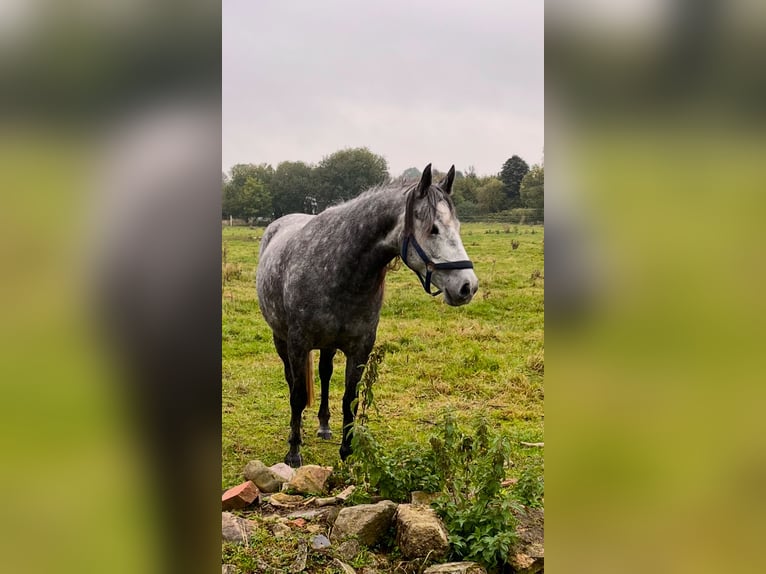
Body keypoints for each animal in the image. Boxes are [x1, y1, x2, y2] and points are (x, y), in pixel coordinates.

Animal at [258, 163, 480, 468]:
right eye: (433, 229)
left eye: (457, 227)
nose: (467, 286)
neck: (338, 269)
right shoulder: (298, 344)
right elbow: (298, 396)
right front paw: (293, 452)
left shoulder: (360, 347)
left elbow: (349, 398)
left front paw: (347, 451)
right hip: (281, 339)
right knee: (292, 381)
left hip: (327, 345)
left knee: (325, 374)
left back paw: (324, 425)